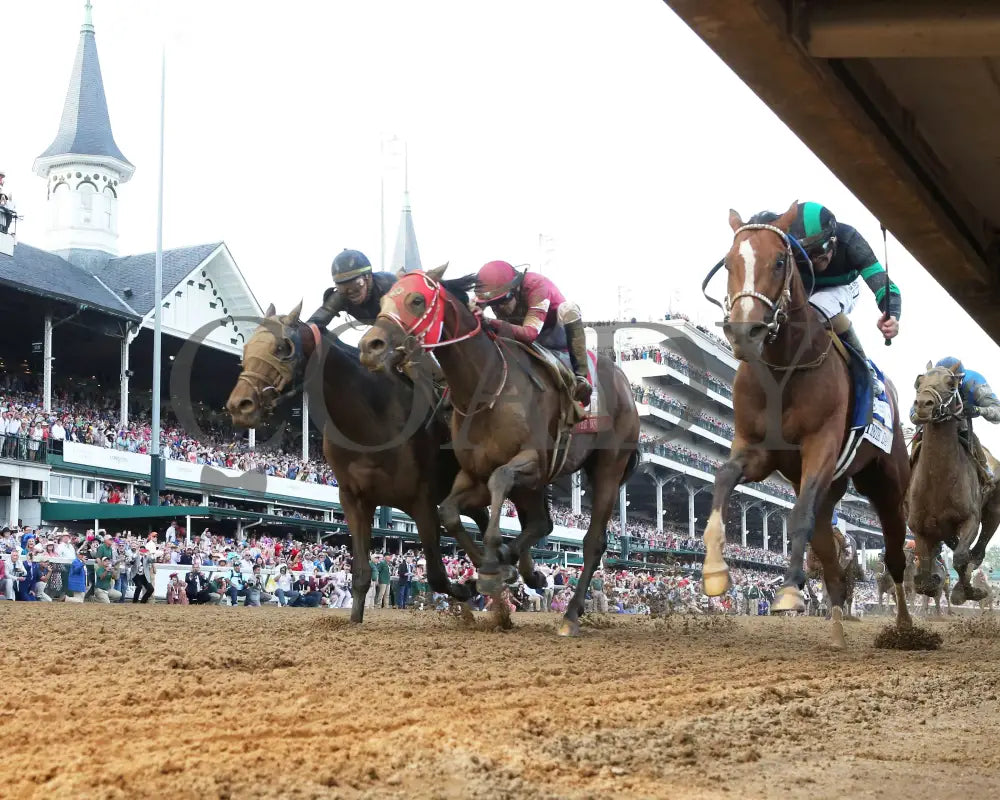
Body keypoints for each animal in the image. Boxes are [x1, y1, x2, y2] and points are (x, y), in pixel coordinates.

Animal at [227, 302, 492, 624]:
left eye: (282, 347)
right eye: (247, 347)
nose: (239, 405)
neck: (370, 420)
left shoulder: (422, 501)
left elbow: (437, 575)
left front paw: (469, 587)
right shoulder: (354, 499)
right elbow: (362, 573)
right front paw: (354, 620)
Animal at [360, 266, 640, 636]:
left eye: (417, 300)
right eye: (381, 301)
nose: (369, 346)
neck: (486, 386)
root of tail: (624, 384)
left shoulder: (533, 460)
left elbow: (500, 481)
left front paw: (494, 563)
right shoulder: (472, 473)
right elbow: (449, 512)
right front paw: (488, 565)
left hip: (608, 465)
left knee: (592, 541)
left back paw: (569, 614)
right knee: (542, 523)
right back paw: (528, 571)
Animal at [704, 203, 916, 648]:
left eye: (780, 261)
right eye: (729, 263)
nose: (744, 330)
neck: (783, 368)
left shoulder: (820, 445)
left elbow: (798, 514)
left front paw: (787, 591)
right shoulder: (756, 449)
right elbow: (723, 476)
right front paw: (714, 571)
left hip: (888, 486)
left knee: (894, 555)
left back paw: (906, 628)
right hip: (831, 492)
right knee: (831, 560)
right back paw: (836, 631)